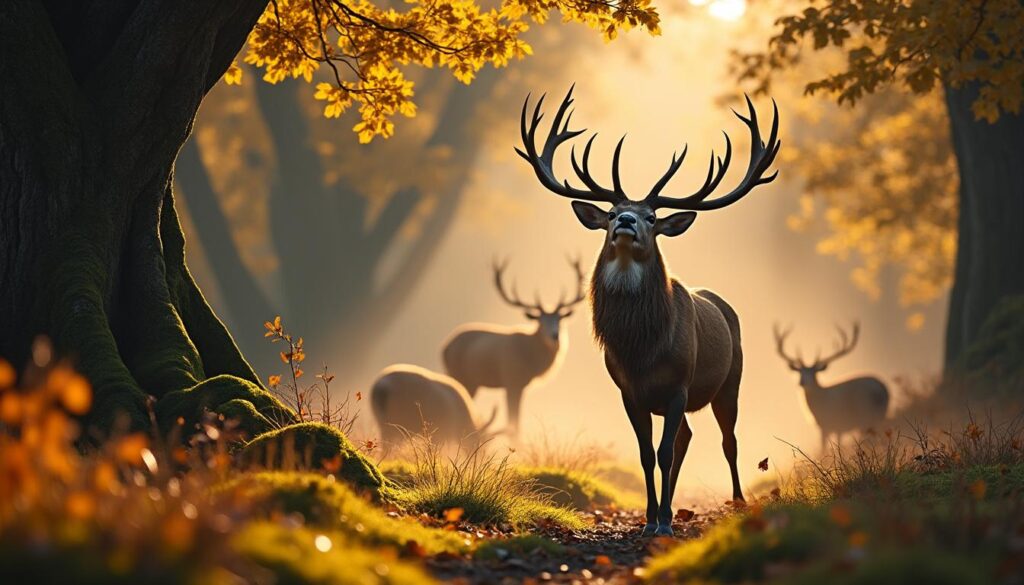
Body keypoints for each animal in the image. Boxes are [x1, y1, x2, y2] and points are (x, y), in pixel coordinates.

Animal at [442, 258, 586, 437]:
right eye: (540, 321)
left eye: (560, 319)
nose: (555, 335)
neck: (532, 358)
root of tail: (444, 348)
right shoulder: (512, 381)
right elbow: (514, 422)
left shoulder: (521, 385)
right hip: (460, 375)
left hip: (471, 382)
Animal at [516, 86, 780, 536]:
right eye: (609, 212)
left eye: (653, 216)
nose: (624, 219)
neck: (643, 349)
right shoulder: (629, 391)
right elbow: (646, 453)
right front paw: (651, 518)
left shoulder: (679, 386)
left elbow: (665, 451)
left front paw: (664, 524)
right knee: (688, 437)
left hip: (731, 379)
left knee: (727, 440)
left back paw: (737, 501)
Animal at [773, 322, 890, 452]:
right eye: (800, 372)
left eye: (814, 373)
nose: (802, 382)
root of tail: (880, 391)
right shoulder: (838, 427)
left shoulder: (827, 424)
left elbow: (824, 448)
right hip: (879, 415)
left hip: (865, 413)